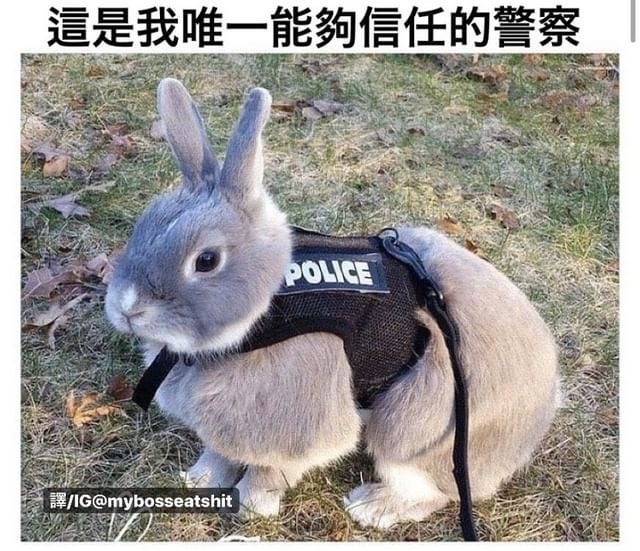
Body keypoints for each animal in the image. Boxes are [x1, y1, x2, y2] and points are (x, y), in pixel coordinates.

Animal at [105, 78, 560, 529]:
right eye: (144, 224)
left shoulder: (294, 428)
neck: (266, 311)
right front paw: (197, 483)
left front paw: (251, 508)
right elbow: (220, 454)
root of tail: (546, 401)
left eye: (206, 260)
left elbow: (268, 471)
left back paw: (369, 507)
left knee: (432, 491)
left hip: (420, 433)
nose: (126, 308)